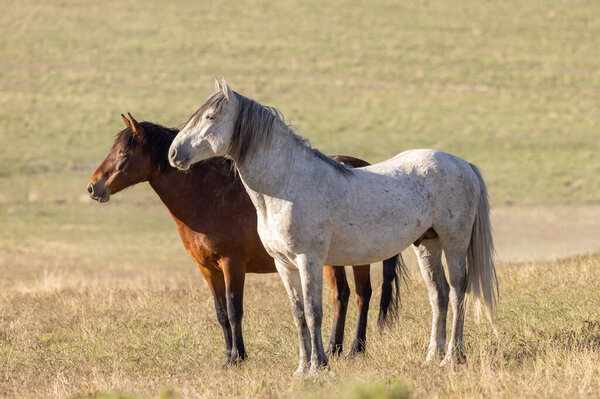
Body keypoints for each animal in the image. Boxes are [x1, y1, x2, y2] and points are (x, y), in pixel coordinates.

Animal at [86, 115, 400, 366]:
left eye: (123, 151)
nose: (93, 186)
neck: (209, 197)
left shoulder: (232, 265)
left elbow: (236, 310)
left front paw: (239, 357)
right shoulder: (208, 269)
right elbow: (222, 313)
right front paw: (228, 356)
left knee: (361, 295)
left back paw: (355, 349)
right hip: (330, 261)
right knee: (341, 295)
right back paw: (335, 348)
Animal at [168, 80, 496, 376]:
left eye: (210, 117)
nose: (173, 153)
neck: (287, 185)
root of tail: (463, 164)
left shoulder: (308, 260)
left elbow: (315, 313)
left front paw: (319, 365)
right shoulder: (284, 264)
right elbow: (299, 315)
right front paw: (302, 368)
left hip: (454, 242)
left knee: (457, 290)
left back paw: (452, 356)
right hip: (428, 243)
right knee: (438, 295)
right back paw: (431, 356)